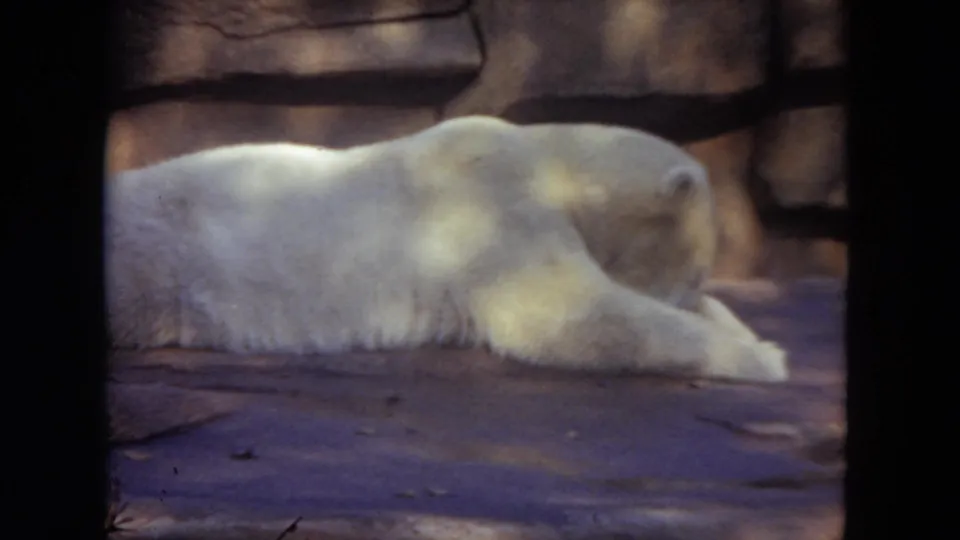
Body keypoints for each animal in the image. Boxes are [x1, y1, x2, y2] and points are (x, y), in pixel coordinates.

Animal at [105, 115, 787, 383]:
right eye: (696, 270)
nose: (690, 295)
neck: (546, 159)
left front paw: (745, 329)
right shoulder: (488, 209)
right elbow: (574, 319)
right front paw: (766, 356)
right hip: (148, 259)